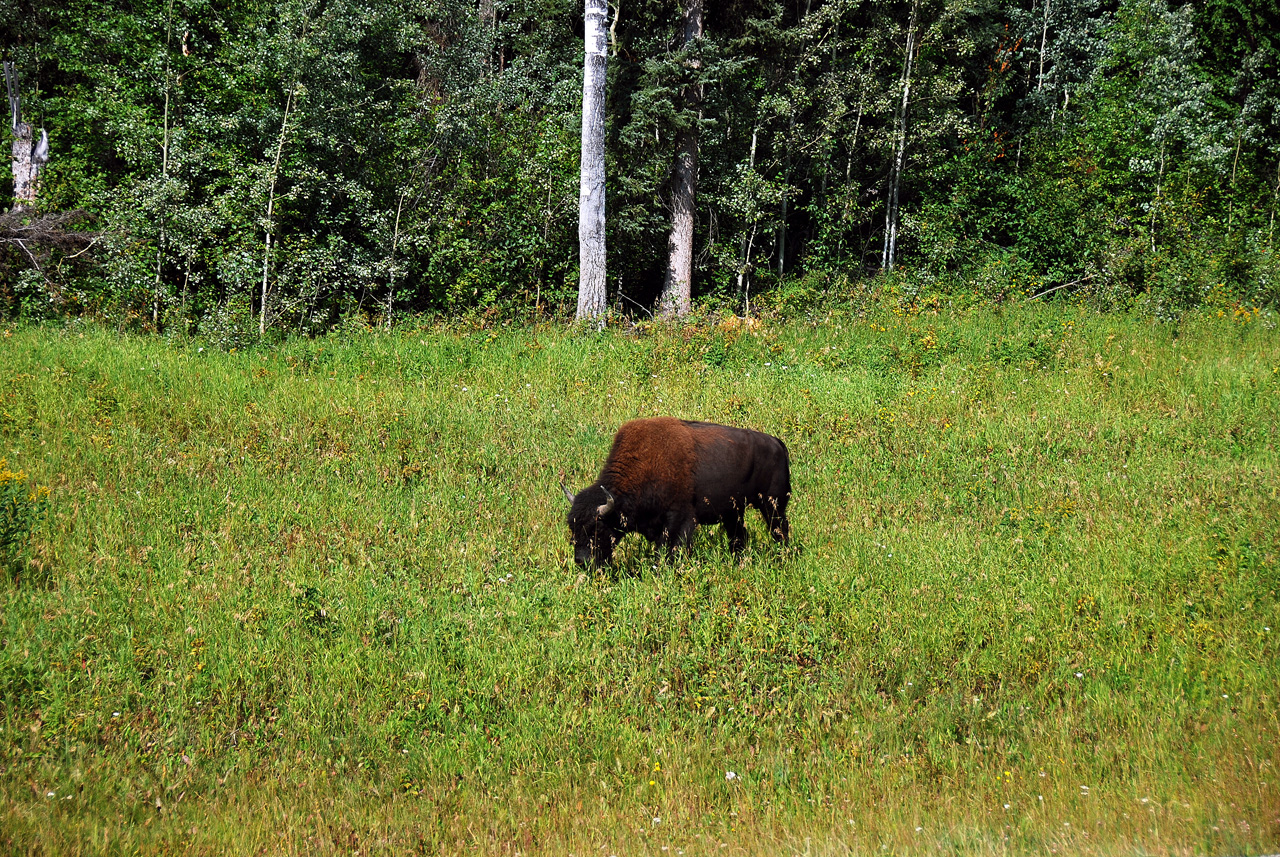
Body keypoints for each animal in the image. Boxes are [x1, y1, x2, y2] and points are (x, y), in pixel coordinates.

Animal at [563, 416, 788, 567]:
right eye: (572, 527)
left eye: (597, 527)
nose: (581, 560)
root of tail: (777, 443)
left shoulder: (679, 520)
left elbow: (670, 549)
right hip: (734, 512)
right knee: (739, 536)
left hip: (773, 504)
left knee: (780, 530)